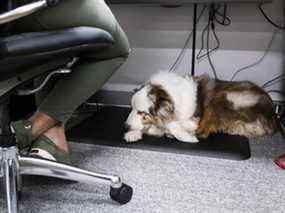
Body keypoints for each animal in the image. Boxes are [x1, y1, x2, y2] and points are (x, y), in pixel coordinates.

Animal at [122, 71, 278, 143]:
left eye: (141, 112)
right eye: (131, 108)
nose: (125, 126)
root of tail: (272, 114)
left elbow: (172, 125)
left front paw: (185, 134)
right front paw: (133, 134)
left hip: (222, 97)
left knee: (203, 132)